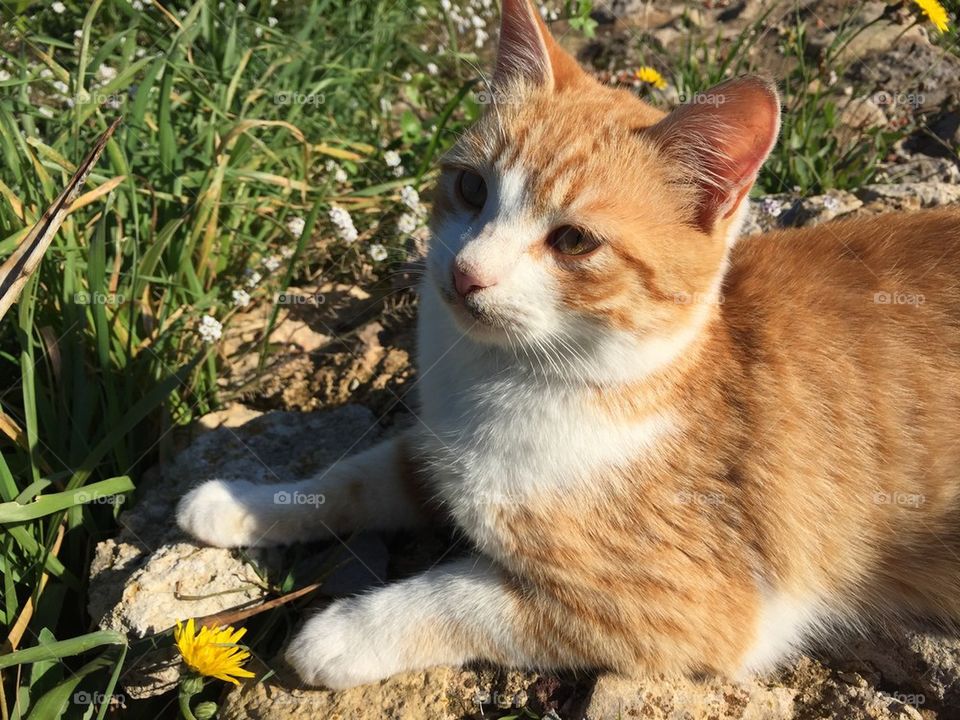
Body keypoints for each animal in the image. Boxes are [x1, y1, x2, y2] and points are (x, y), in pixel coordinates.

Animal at [176, 0, 960, 692]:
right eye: (471, 188)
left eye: (575, 240)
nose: (466, 273)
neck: (507, 381)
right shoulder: (433, 445)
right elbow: (356, 476)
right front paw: (238, 504)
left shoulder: (687, 607)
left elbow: (464, 595)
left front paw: (341, 634)